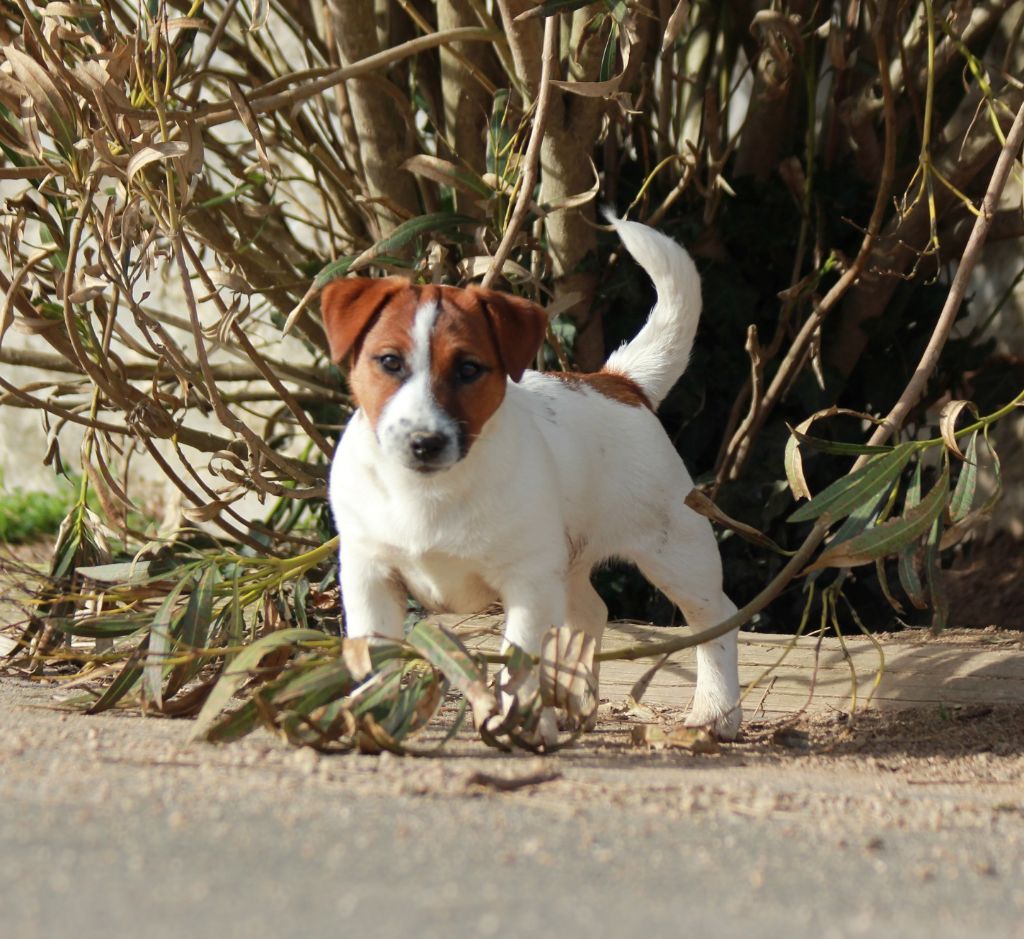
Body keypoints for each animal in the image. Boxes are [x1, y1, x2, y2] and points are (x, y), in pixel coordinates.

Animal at [317, 220, 737, 741]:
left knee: (716, 620)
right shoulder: (370, 573)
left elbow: (519, 662)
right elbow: (376, 656)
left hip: (676, 550)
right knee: (590, 613)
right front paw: (373, 716)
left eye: (469, 369)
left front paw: (519, 721)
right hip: (568, 563)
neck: (430, 493)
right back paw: (576, 703)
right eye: (389, 362)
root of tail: (618, 381)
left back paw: (715, 714)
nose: (424, 442)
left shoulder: (528, 584)